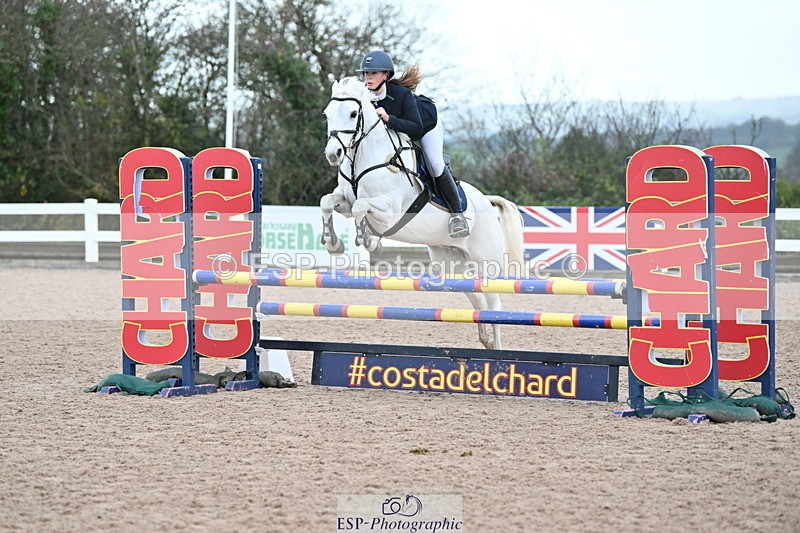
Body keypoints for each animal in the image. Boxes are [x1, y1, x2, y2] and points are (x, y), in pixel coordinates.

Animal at [320, 76, 524, 349]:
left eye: (353, 114)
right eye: (327, 114)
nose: (333, 154)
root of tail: (486, 203)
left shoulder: (391, 211)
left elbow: (361, 206)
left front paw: (370, 242)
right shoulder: (344, 201)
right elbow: (328, 202)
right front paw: (333, 243)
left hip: (487, 263)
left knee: (495, 305)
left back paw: (497, 350)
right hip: (452, 265)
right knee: (477, 299)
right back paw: (486, 340)